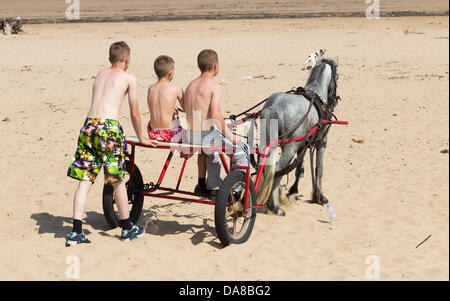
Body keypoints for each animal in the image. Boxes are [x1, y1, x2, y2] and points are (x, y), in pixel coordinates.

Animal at [255, 56, 340, 216]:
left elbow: (299, 169)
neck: (317, 95)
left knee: (262, 168)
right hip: (290, 148)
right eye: (337, 77)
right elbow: (319, 168)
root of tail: (274, 106)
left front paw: (294, 190)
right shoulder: (322, 142)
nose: (334, 100)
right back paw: (275, 206)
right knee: (277, 171)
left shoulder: (303, 145)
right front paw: (319, 196)